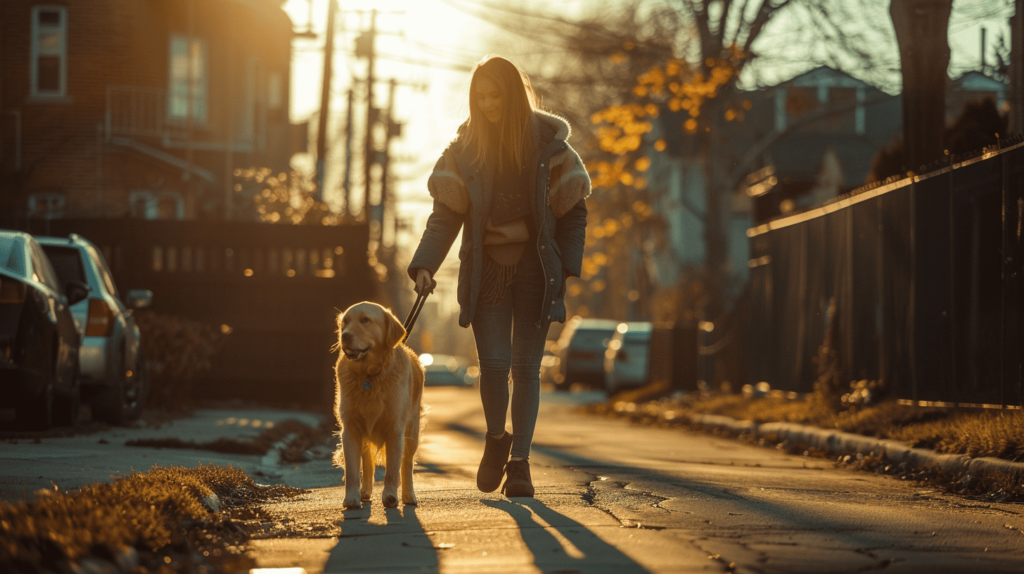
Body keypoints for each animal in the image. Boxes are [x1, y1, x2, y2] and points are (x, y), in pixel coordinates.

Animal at [329, 300, 421, 505]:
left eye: (365, 320)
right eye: (345, 322)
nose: (344, 336)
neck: (369, 376)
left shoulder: (395, 429)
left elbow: (393, 470)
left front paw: (390, 496)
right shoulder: (351, 429)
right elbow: (352, 470)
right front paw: (351, 498)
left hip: (413, 431)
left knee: (407, 464)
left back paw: (409, 496)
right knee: (368, 462)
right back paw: (365, 492)